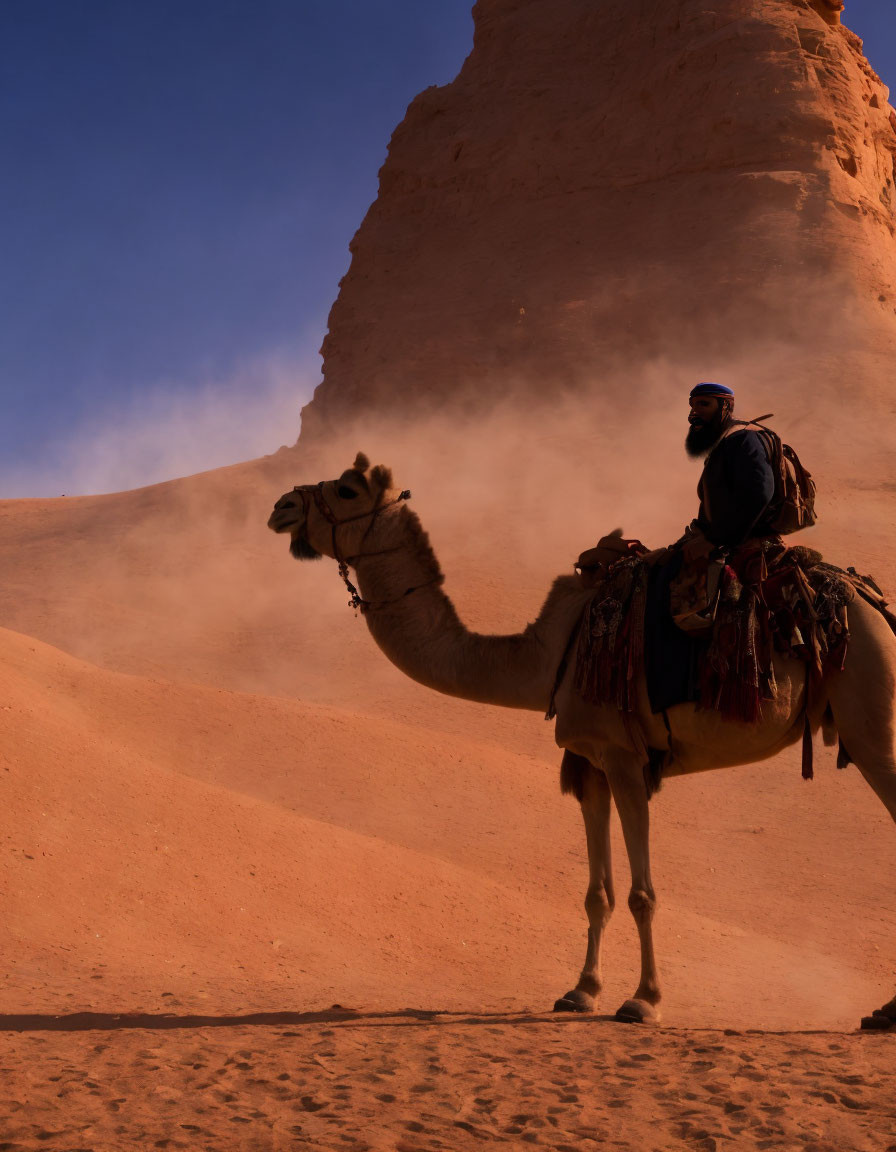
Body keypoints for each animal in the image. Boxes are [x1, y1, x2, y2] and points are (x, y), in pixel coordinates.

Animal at [268, 449, 893, 1027]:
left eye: (347, 489)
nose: (282, 506)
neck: (550, 656)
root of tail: (875, 604)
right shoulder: (588, 763)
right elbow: (598, 893)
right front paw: (580, 991)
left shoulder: (624, 757)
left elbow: (642, 893)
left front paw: (643, 1001)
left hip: (872, 715)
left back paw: (883, 1013)